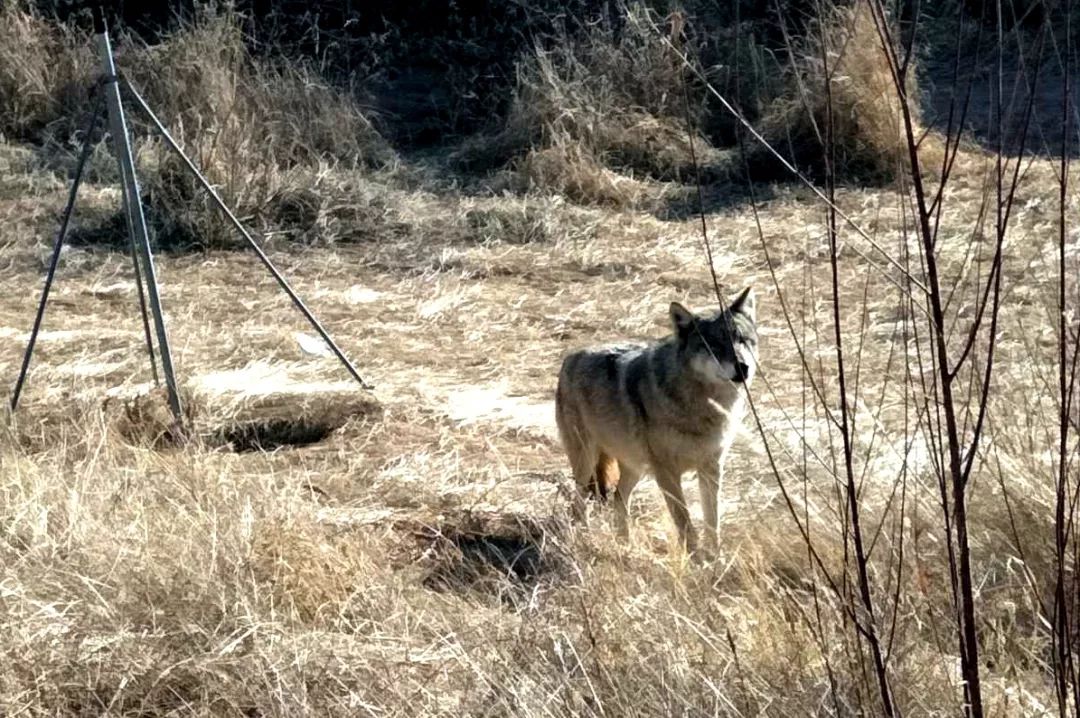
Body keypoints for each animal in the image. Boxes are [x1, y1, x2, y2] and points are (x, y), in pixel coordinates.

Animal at [557, 287, 760, 552]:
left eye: (742, 340)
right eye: (713, 346)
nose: (742, 366)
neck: (700, 407)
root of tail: (570, 357)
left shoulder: (712, 467)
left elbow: (712, 522)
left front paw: (716, 557)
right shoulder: (667, 473)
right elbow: (685, 524)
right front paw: (697, 558)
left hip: (634, 467)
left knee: (618, 499)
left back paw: (626, 546)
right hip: (586, 463)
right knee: (579, 504)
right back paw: (585, 541)